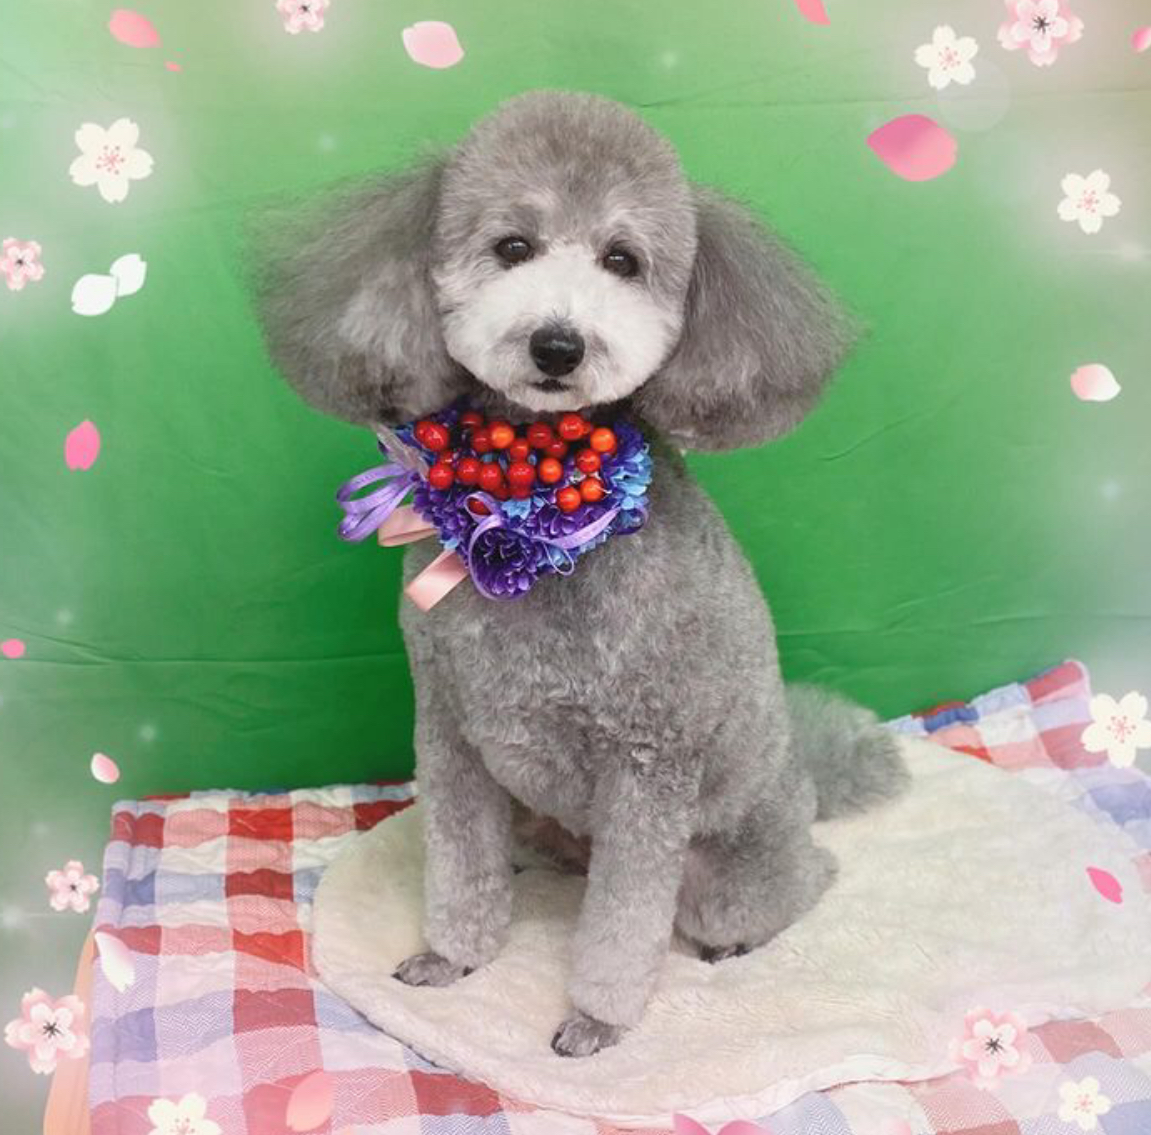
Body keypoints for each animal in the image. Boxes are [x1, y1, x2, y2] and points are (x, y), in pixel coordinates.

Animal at [257, 90, 908, 1057]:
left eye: (622, 261)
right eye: (511, 247)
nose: (558, 344)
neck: (528, 500)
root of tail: (803, 778)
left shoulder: (648, 761)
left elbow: (621, 925)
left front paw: (596, 1018)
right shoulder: (449, 727)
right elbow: (458, 864)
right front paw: (452, 956)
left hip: (728, 860)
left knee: (795, 882)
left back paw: (745, 929)